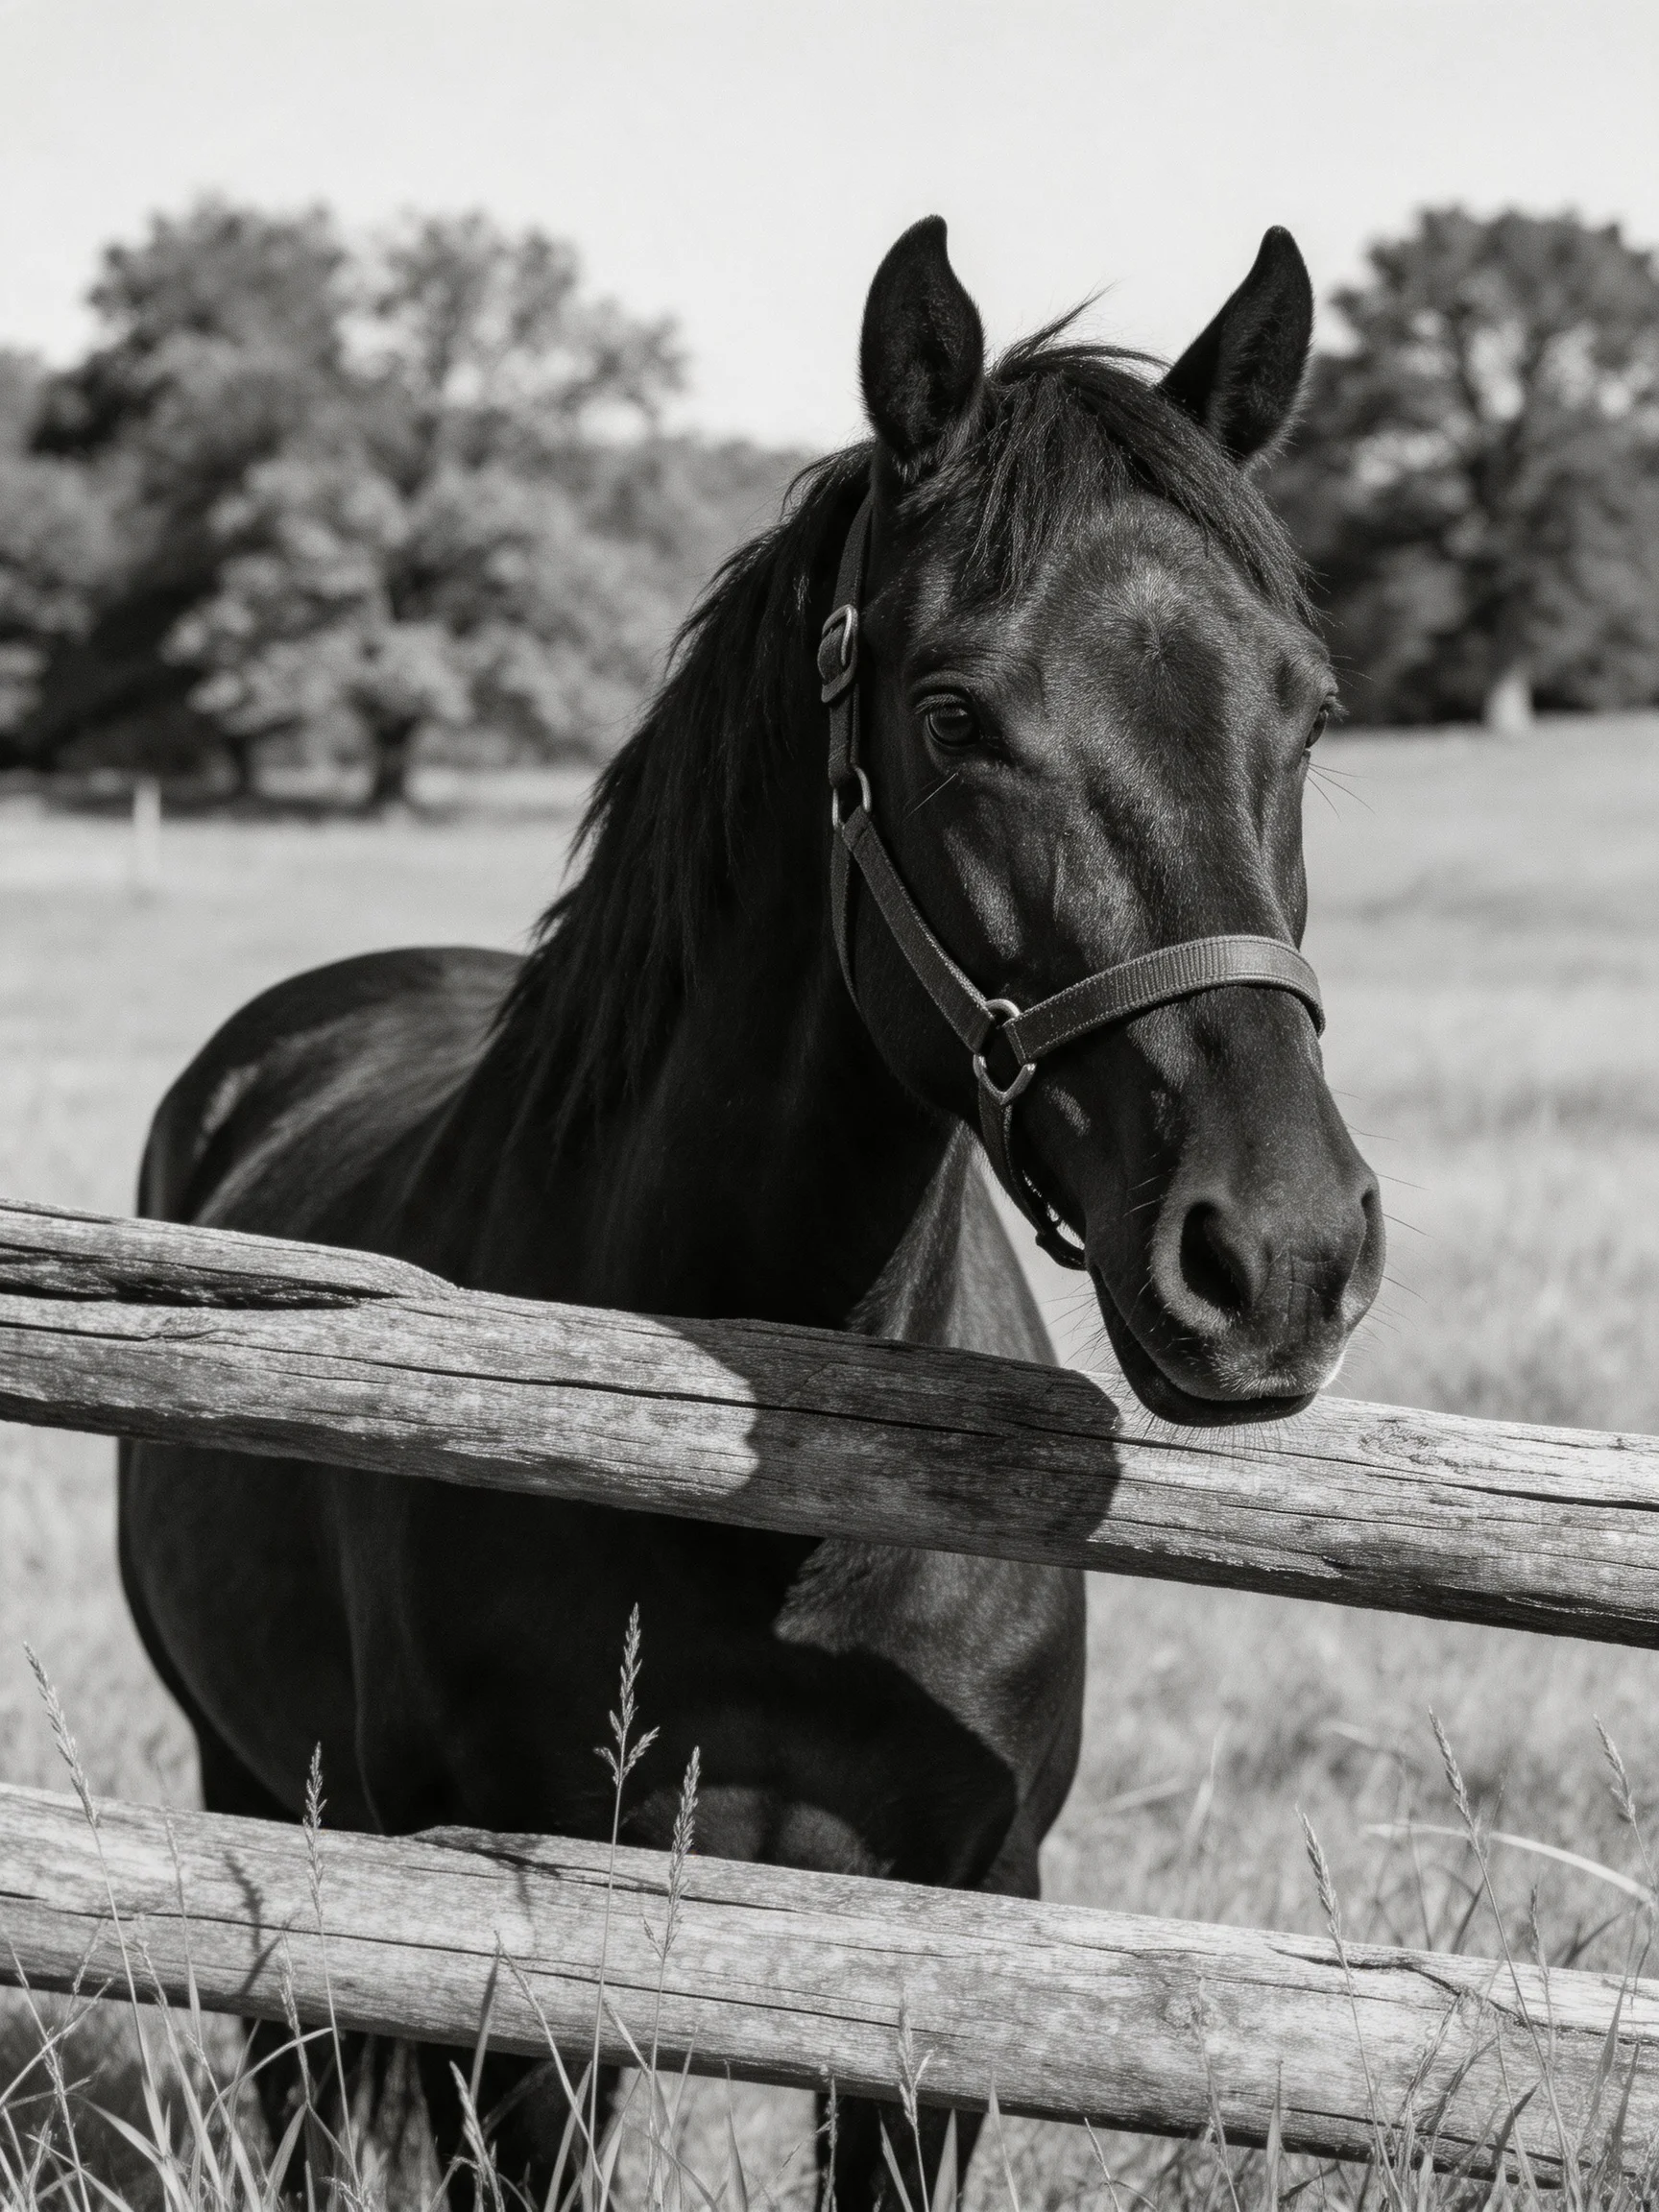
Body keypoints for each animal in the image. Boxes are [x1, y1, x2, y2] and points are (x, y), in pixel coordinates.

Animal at [118, 216, 1383, 2207]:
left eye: (1305, 708)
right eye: (952, 713)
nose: (1276, 1258)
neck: (779, 1512)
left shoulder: (956, 1951)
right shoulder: (513, 1975)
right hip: (256, 1798)